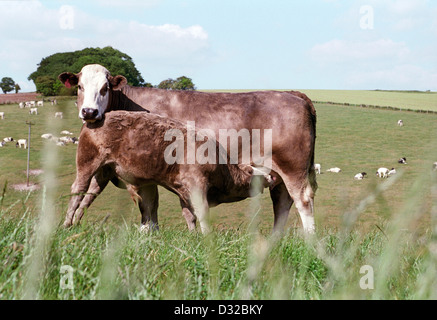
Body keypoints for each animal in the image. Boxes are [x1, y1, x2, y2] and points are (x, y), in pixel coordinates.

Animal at [63, 111, 272, 234]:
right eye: (254, 171)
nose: (272, 176)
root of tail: (98, 117)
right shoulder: (196, 184)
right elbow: (202, 212)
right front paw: (206, 237)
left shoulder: (183, 191)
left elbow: (189, 215)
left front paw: (193, 236)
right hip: (87, 164)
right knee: (77, 190)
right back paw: (66, 224)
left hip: (102, 173)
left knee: (88, 196)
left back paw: (77, 223)